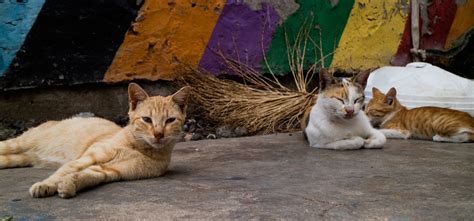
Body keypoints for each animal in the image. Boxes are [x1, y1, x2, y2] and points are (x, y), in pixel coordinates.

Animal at [1, 83, 193, 199]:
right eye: (147, 119)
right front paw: (46, 185)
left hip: (19, 158)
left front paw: (69, 185)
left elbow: (87, 176)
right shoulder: (87, 158)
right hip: (18, 143)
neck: (138, 148)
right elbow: (62, 172)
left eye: (170, 121)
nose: (159, 134)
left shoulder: (109, 171)